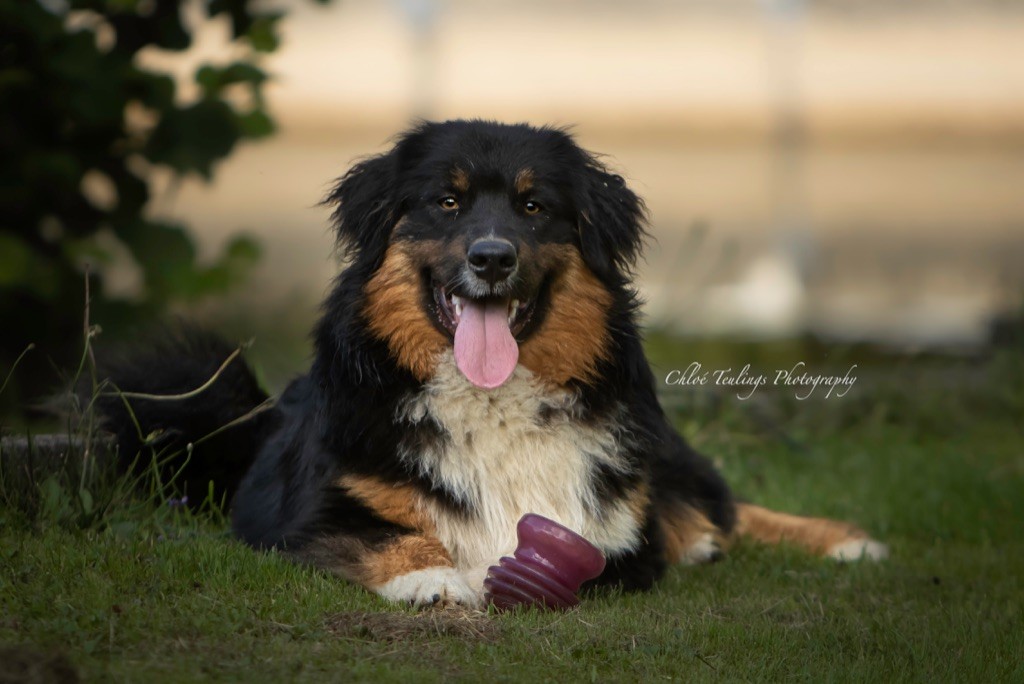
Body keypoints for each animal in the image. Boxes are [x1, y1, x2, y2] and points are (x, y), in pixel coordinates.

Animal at [96, 120, 887, 608]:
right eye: (446, 202)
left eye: (534, 207)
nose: (492, 257)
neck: (491, 398)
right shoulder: (300, 514)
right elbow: (386, 533)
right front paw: (432, 578)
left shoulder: (619, 527)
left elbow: (629, 539)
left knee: (722, 506)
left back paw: (848, 540)